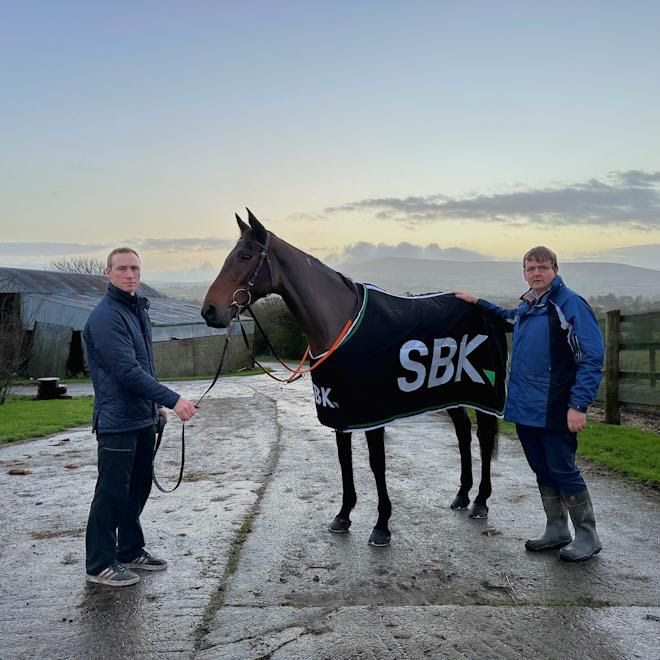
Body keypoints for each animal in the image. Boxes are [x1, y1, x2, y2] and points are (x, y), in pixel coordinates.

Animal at [201, 210, 500, 548]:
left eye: (245, 255)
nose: (209, 310)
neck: (339, 324)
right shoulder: (340, 410)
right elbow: (344, 460)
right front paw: (343, 515)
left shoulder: (372, 414)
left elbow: (376, 463)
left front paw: (382, 525)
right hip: (450, 394)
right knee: (463, 432)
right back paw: (462, 495)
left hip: (484, 393)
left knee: (483, 436)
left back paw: (481, 501)